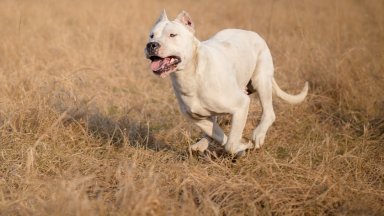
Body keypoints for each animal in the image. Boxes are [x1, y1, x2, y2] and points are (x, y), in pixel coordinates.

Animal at [145, 10, 308, 155]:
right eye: (151, 35)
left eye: (172, 35)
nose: (151, 44)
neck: (191, 75)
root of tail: (250, 32)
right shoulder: (196, 118)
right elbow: (219, 135)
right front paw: (241, 147)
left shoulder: (241, 105)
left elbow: (230, 144)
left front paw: (242, 146)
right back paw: (202, 143)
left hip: (261, 80)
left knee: (269, 112)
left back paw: (258, 134)